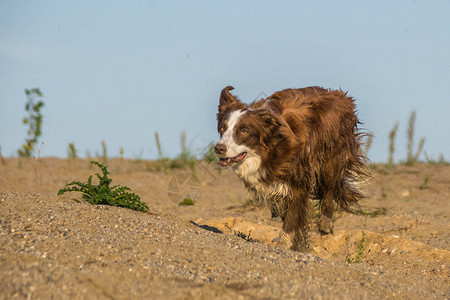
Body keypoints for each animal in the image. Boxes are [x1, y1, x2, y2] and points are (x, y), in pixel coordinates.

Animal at [214, 86, 370, 251]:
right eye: (223, 127)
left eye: (244, 131)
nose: (219, 148)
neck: (272, 149)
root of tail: (340, 95)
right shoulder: (277, 188)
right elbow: (290, 214)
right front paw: (299, 244)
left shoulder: (299, 180)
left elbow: (292, 216)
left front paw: (284, 244)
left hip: (332, 155)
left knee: (329, 188)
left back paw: (325, 224)